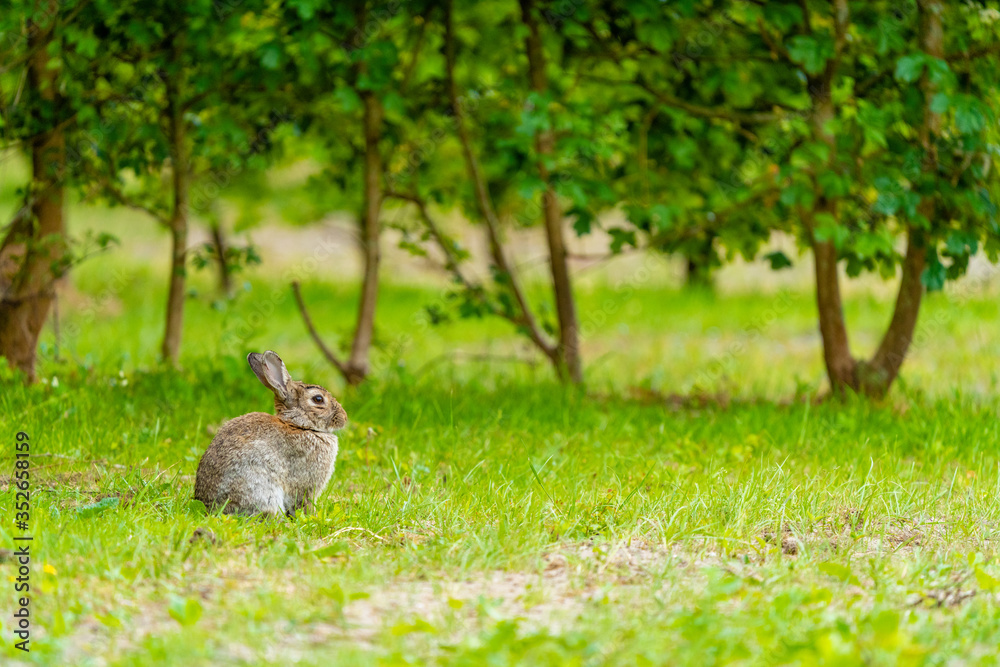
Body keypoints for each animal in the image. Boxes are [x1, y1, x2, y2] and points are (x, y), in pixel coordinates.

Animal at [194, 352, 348, 520]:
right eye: (318, 399)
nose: (344, 418)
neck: (300, 426)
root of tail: (210, 507)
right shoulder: (306, 485)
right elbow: (303, 503)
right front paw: (310, 517)